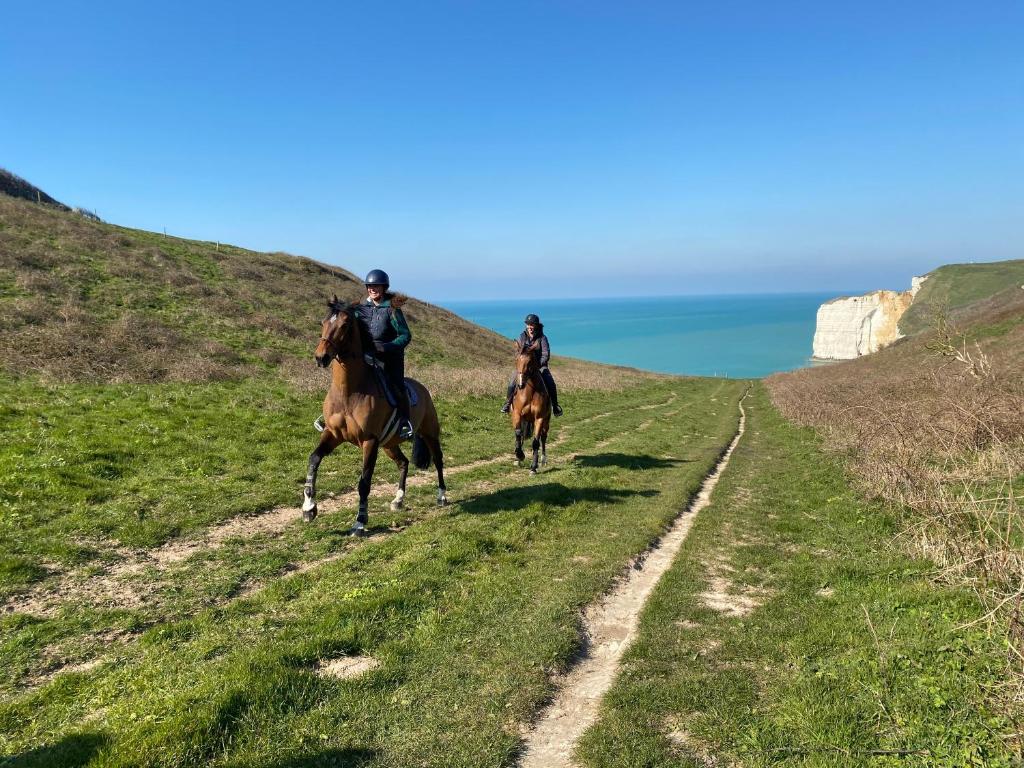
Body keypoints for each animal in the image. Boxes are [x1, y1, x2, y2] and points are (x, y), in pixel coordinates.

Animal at [303, 294, 448, 536]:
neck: (349, 391)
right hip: (389, 443)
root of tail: (423, 389)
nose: (321, 357)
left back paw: (442, 496)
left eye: (345, 325)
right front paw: (308, 508)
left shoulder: (369, 441)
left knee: (438, 460)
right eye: (322, 323)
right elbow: (314, 459)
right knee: (403, 463)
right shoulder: (333, 434)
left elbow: (364, 482)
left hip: (429, 434)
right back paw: (398, 500)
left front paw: (360, 522)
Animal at [507, 344, 548, 475]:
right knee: (521, 435)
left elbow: (535, 442)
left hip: (546, 420)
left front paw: (533, 467)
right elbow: (518, 434)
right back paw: (518, 459)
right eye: (516, 360)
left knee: (543, 437)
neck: (530, 392)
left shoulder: (539, 418)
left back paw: (543, 460)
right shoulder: (517, 415)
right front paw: (519, 455)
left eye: (530, 361)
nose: (520, 384)